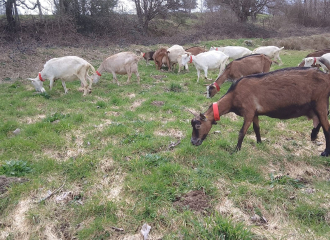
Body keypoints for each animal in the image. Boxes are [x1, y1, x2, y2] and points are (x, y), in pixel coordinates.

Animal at [189, 67, 330, 158]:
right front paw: (260, 143)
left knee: (326, 127)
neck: (234, 95)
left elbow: (242, 132)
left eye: (198, 125)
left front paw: (236, 150)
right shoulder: (255, 113)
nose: (193, 142)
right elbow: (257, 128)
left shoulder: (249, 111)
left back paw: (325, 153)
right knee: (319, 121)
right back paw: (313, 135)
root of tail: (326, 77)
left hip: (321, 102)